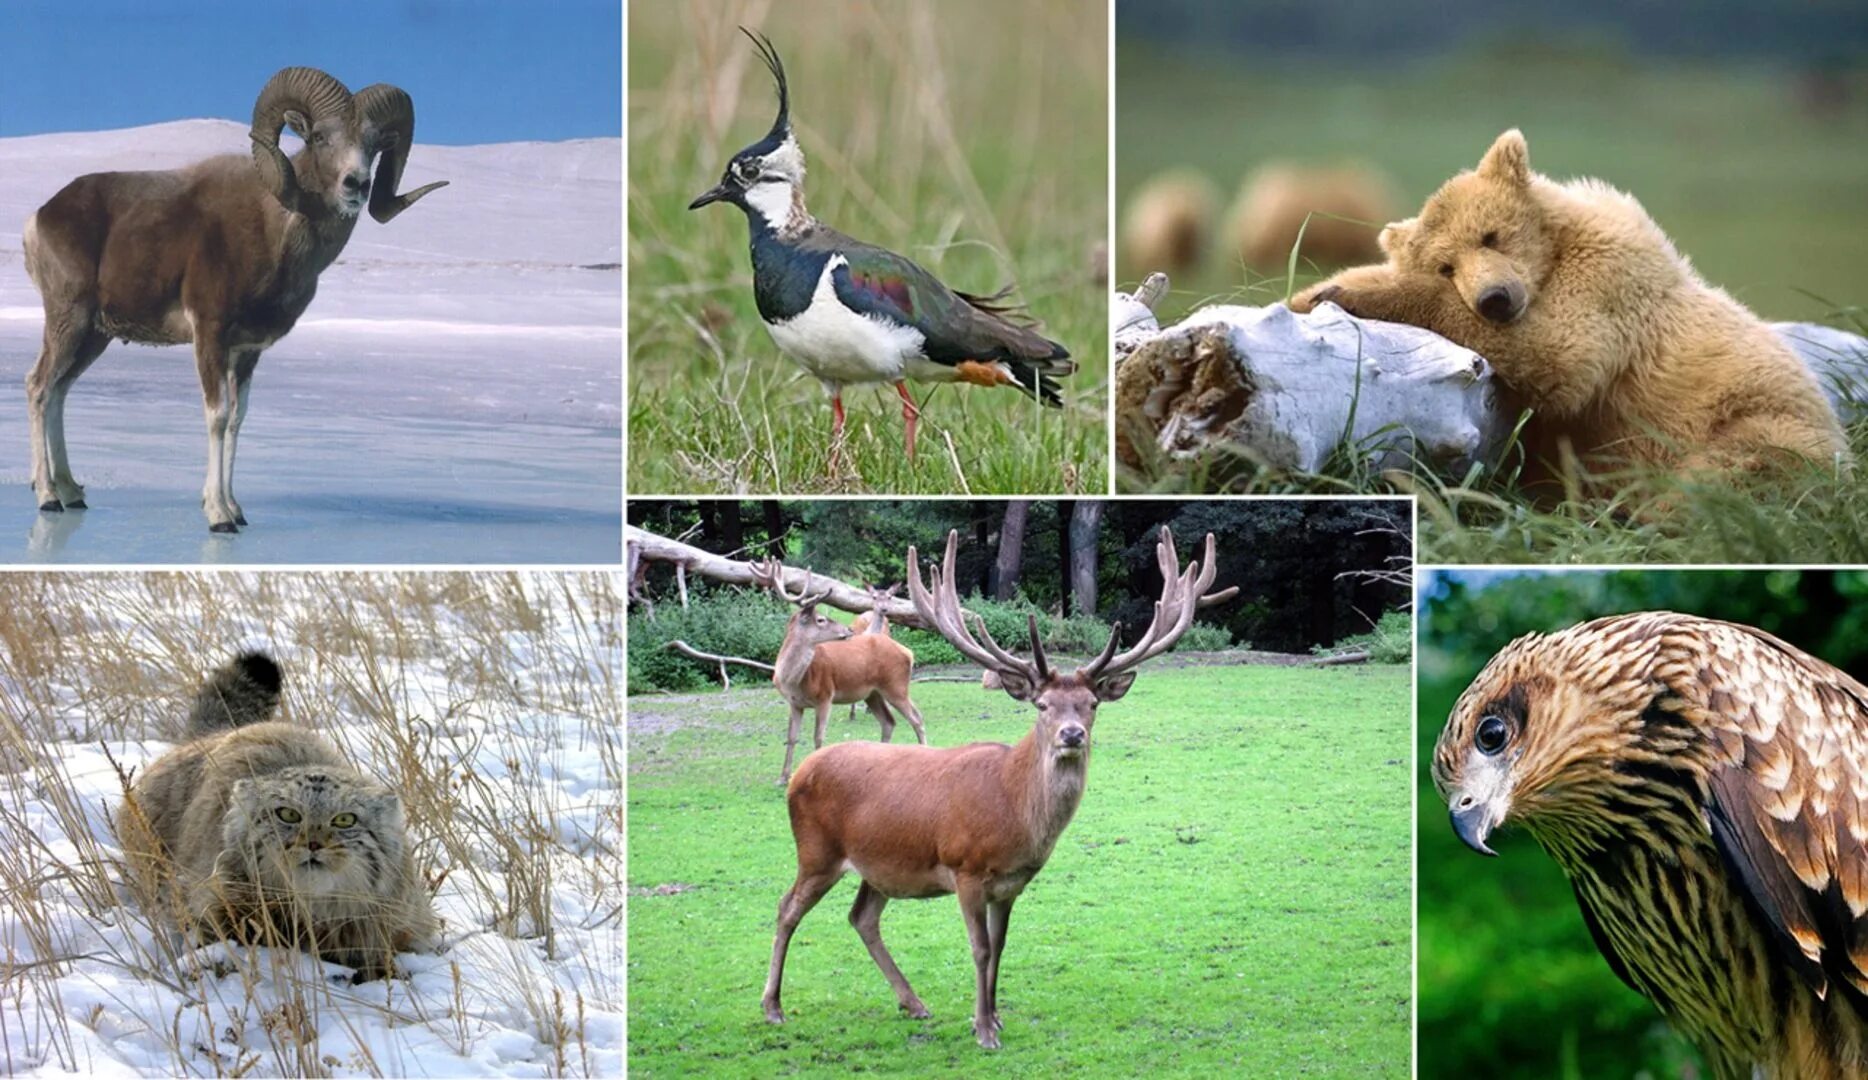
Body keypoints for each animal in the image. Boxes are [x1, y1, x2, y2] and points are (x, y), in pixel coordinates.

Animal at [747, 553, 930, 781]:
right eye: (820, 619)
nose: (848, 630)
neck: (792, 681)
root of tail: (908, 653)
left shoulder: (825, 695)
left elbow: (818, 737)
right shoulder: (794, 703)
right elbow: (791, 737)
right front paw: (782, 777)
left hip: (896, 685)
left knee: (917, 718)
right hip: (872, 693)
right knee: (889, 722)